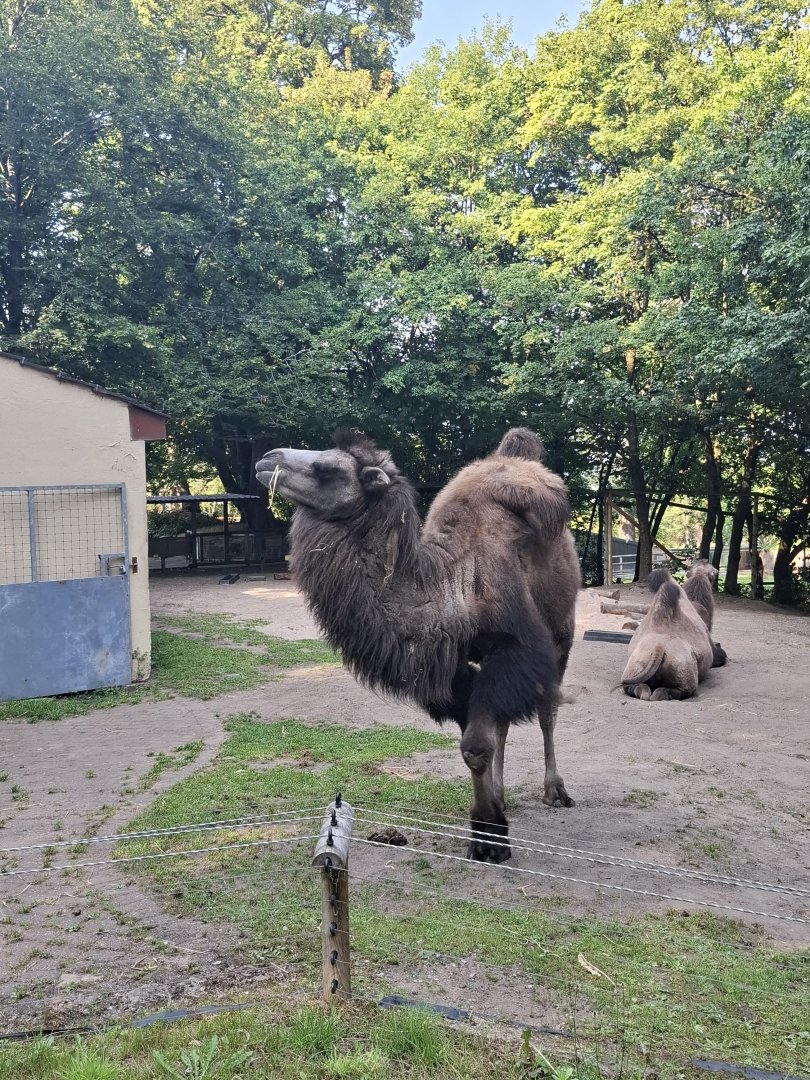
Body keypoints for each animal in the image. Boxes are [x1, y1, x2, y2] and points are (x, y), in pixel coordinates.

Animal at [256, 428, 581, 863]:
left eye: (327, 469)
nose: (266, 458)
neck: (455, 586)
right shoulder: (452, 665)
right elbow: (478, 738)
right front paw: (490, 822)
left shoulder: (518, 647)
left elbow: (476, 745)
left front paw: (491, 840)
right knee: (503, 725)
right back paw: (505, 796)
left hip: (562, 629)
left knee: (547, 711)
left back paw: (555, 791)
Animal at [621, 567, 725, 701]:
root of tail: (658, 649)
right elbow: (720, 656)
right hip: (682, 667)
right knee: (680, 690)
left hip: (636, 664)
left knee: (639, 688)